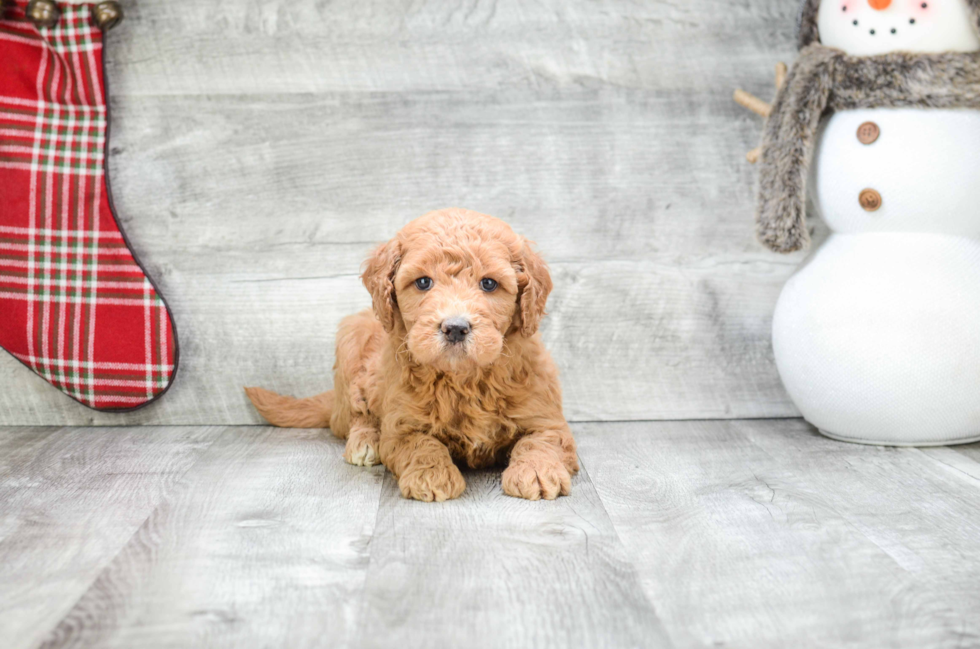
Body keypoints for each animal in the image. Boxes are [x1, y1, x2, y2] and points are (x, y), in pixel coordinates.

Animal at [245, 208, 580, 502]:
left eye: (488, 283)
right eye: (423, 282)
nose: (455, 328)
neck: (463, 380)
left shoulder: (546, 415)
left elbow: (542, 440)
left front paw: (536, 472)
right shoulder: (400, 423)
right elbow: (420, 444)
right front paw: (431, 476)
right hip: (351, 340)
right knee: (355, 413)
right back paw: (364, 442)